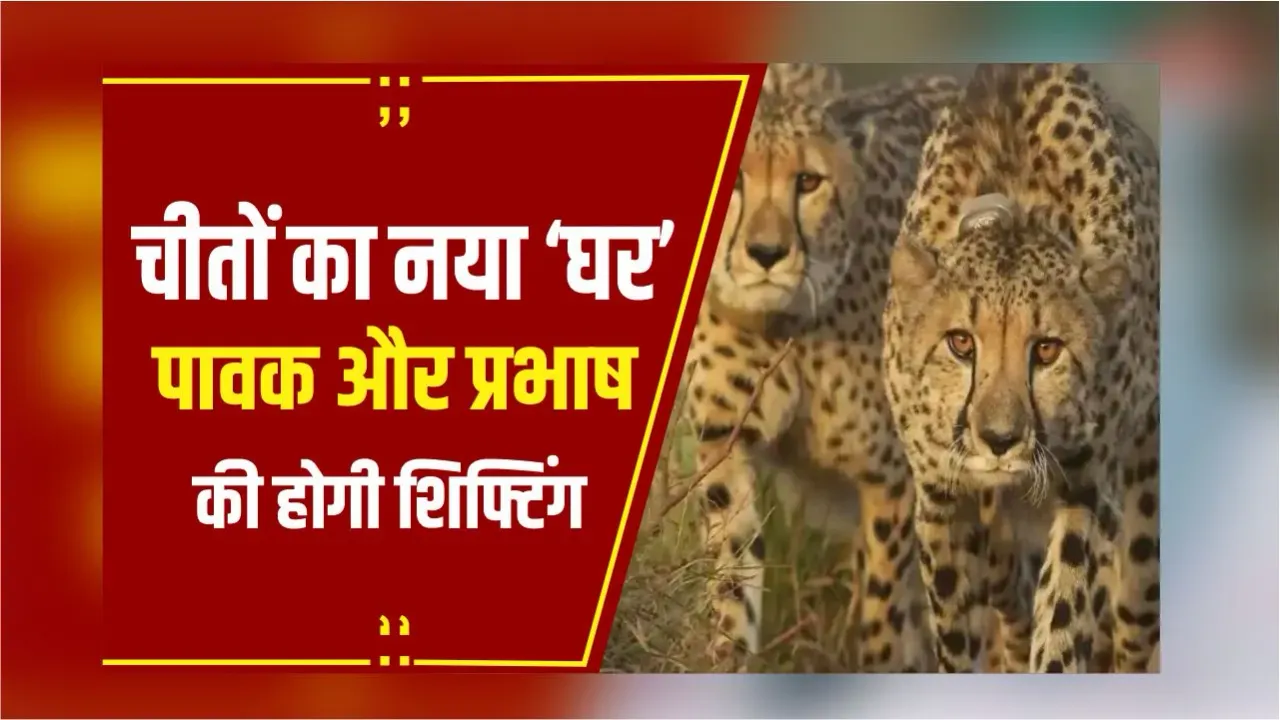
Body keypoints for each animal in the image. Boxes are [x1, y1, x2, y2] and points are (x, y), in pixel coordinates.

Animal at [680, 62, 961, 671]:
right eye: (734, 181)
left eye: (808, 182)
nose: (766, 254)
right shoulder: (726, 450)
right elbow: (734, 577)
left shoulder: (891, 479)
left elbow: (884, 602)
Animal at [882, 63, 1160, 673]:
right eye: (961, 343)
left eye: (1047, 350)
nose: (1000, 438)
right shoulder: (941, 497)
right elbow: (956, 631)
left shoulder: (1087, 491)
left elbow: (1062, 621)